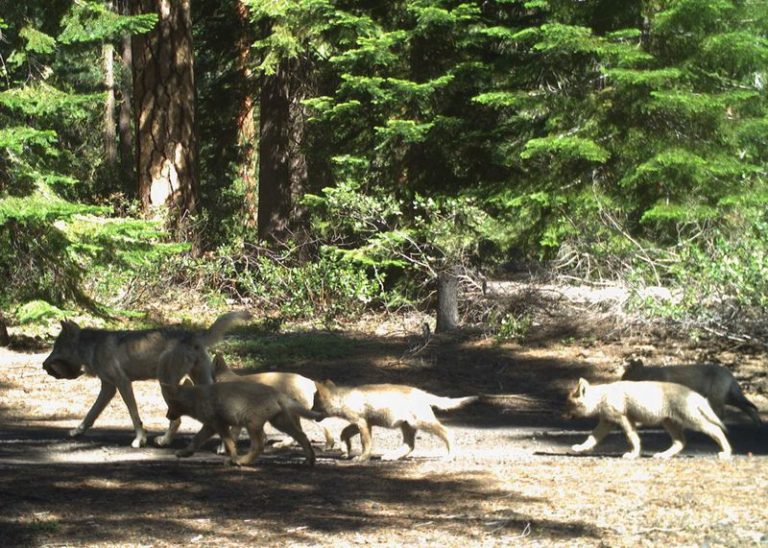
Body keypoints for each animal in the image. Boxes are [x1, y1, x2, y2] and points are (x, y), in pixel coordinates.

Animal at [42, 311, 250, 448]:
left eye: (55, 348)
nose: (43, 365)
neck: (92, 347)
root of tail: (193, 335)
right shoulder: (108, 388)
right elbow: (91, 414)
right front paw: (77, 431)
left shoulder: (123, 384)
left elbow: (134, 415)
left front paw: (139, 440)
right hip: (198, 383)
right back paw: (222, 446)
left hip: (166, 386)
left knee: (176, 421)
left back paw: (165, 441)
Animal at [162, 379, 323, 466]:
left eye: (169, 405)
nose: (167, 416)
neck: (195, 398)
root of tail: (277, 393)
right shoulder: (210, 426)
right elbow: (196, 439)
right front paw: (185, 453)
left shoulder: (219, 424)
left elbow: (230, 443)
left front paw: (232, 458)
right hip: (279, 422)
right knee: (302, 436)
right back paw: (310, 460)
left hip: (252, 424)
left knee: (259, 446)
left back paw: (242, 461)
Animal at [312, 380, 477, 461]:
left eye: (315, 404)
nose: (310, 414)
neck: (343, 398)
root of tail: (423, 393)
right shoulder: (362, 422)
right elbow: (344, 433)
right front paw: (346, 451)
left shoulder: (362, 423)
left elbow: (366, 444)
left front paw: (361, 458)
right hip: (407, 425)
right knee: (409, 445)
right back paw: (391, 456)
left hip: (422, 422)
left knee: (448, 432)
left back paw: (450, 456)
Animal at [565, 378, 732, 459]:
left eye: (568, 405)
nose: (562, 415)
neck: (601, 397)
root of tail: (695, 394)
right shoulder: (608, 422)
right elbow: (592, 438)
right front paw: (580, 448)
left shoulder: (624, 420)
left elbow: (632, 439)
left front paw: (633, 455)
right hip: (669, 423)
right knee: (680, 442)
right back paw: (662, 455)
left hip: (692, 421)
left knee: (716, 429)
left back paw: (726, 453)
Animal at [622, 361, 761, 425]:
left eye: (624, 375)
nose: (619, 381)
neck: (648, 375)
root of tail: (730, 373)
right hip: (729, 398)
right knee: (749, 408)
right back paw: (757, 423)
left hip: (716, 398)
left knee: (722, 414)